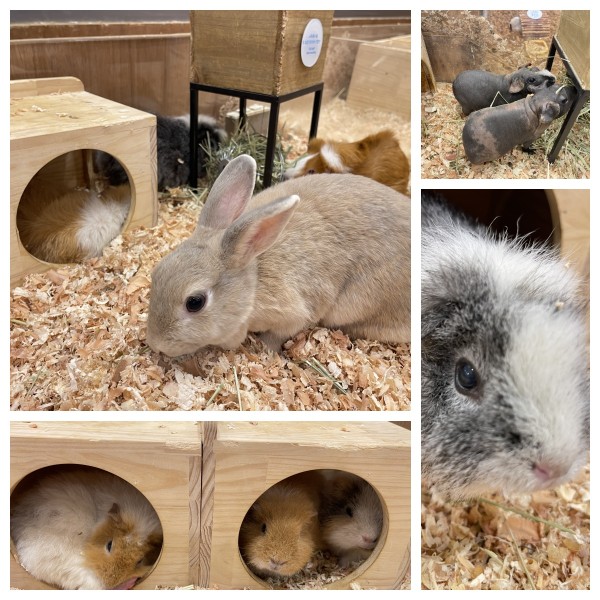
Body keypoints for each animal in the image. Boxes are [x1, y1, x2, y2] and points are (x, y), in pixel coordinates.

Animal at [146, 153, 411, 357]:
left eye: (195, 302)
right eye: (155, 274)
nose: (156, 344)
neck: (254, 280)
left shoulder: (295, 314)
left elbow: (280, 333)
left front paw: (264, 348)